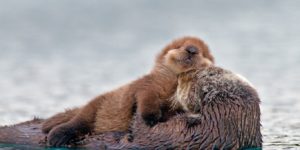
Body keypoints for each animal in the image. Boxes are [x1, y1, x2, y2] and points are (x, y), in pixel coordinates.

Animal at [42, 36, 216, 146]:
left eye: (203, 52)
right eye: (179, 46)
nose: (191, 49)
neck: (173, 83)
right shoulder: (148, 84)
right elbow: (146, 97)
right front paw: (151, 117)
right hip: (93, 108)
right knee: (77, 122)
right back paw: (56, 136)